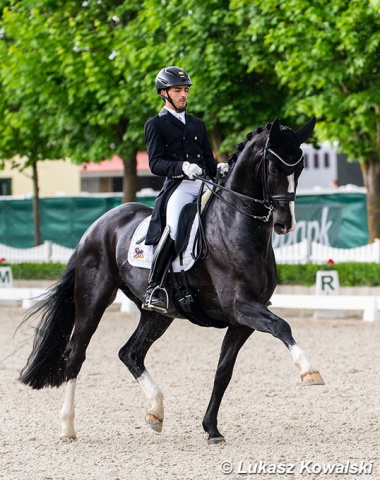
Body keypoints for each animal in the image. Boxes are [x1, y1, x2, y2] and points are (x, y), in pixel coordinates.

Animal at [19, 118, 324, 444]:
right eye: (273, 167)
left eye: (300, 167)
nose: (284, 224)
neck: (234, 226)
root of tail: (97, 225)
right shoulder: (241, 306)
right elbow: (282, 326)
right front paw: (310, 372)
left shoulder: (242, 319)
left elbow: (223, 371)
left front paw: (211, 429)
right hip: (94, 298)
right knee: (76, 353)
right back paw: (67, 427)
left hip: (158, 313)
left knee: (130, 353)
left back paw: (155, 411)